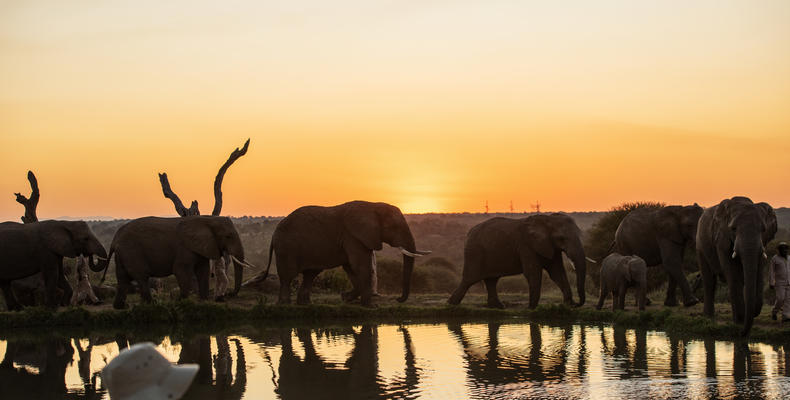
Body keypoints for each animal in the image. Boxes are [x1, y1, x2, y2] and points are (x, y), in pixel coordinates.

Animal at [260, 200, 430, 306]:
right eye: (394, 227)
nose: (397, 299)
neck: (373, 206)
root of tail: (274, 232)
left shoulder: (353, 238)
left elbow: (351, 267)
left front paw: (346, 297)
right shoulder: (353, 236)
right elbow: (360, 265)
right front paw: (370, 306)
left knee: (310, 274)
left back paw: (305, 304)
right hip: (287, 247)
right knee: (288, 275)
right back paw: (284, 304)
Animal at [448, 212, 592, 310]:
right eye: (561, 238)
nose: (576, 304)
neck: (547, 219)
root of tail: (469, 232)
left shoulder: (550, 247)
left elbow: (556, 272)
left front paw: (567, 305)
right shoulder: (526, 245)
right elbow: (533, 272)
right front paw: (531, 308)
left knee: (492, 280)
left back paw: (498, 307)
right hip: (474, 252)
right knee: (470, 279)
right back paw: (451, 305)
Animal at [696, 195, 776, 336]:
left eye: (763, 230)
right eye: (733, 229)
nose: (741, 334)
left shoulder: (762, 243)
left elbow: (758, 271)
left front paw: (751, 312)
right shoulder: (721, 239)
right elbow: (732, 273)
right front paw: (739, 320)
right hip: (700, 246)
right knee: (709, 280)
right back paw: (708, 317)